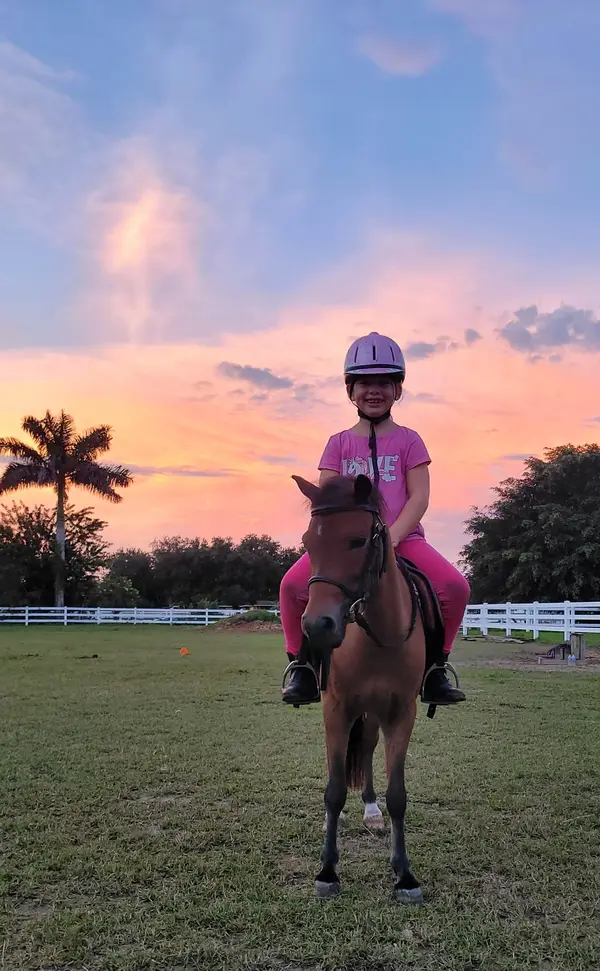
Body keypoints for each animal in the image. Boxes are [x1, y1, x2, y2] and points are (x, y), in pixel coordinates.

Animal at [291, 472, 427, 904]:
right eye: (308, 542)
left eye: (356, 540)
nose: (317, 626)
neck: (376, 634)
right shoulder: (336, 709)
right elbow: (333, 791)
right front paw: (327, 871)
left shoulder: (402, 713)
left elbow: (398, 795)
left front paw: (404, 875)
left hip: (374, 712)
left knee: (366, 749)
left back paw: (370, 808)